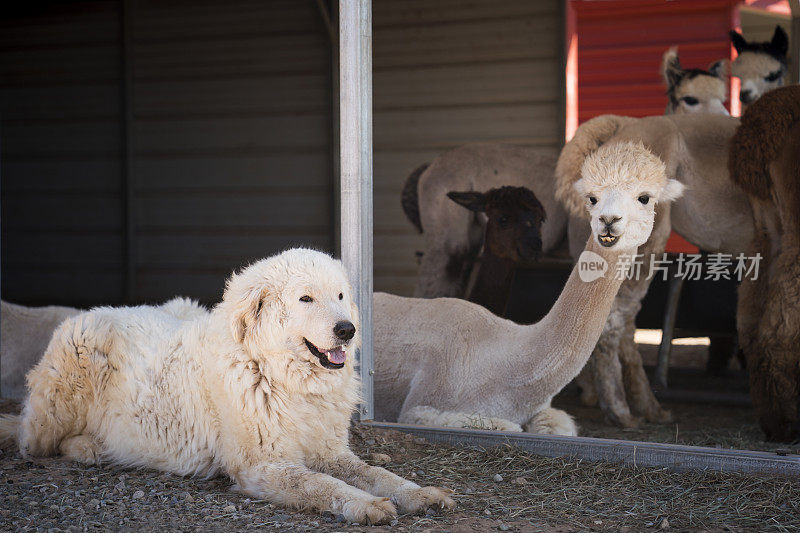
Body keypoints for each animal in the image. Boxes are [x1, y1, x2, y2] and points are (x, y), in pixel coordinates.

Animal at [0, 249, 454, 524]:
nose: (347, 329)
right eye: (306, 299)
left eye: (341, 295)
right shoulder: (262, 467)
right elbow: (322, 485)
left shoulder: (330, 452)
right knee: (31, 440)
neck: (281, 379)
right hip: (67, 382)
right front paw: (366, 505)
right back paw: (89, 447)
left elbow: (377, 473)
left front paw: (420, 494)